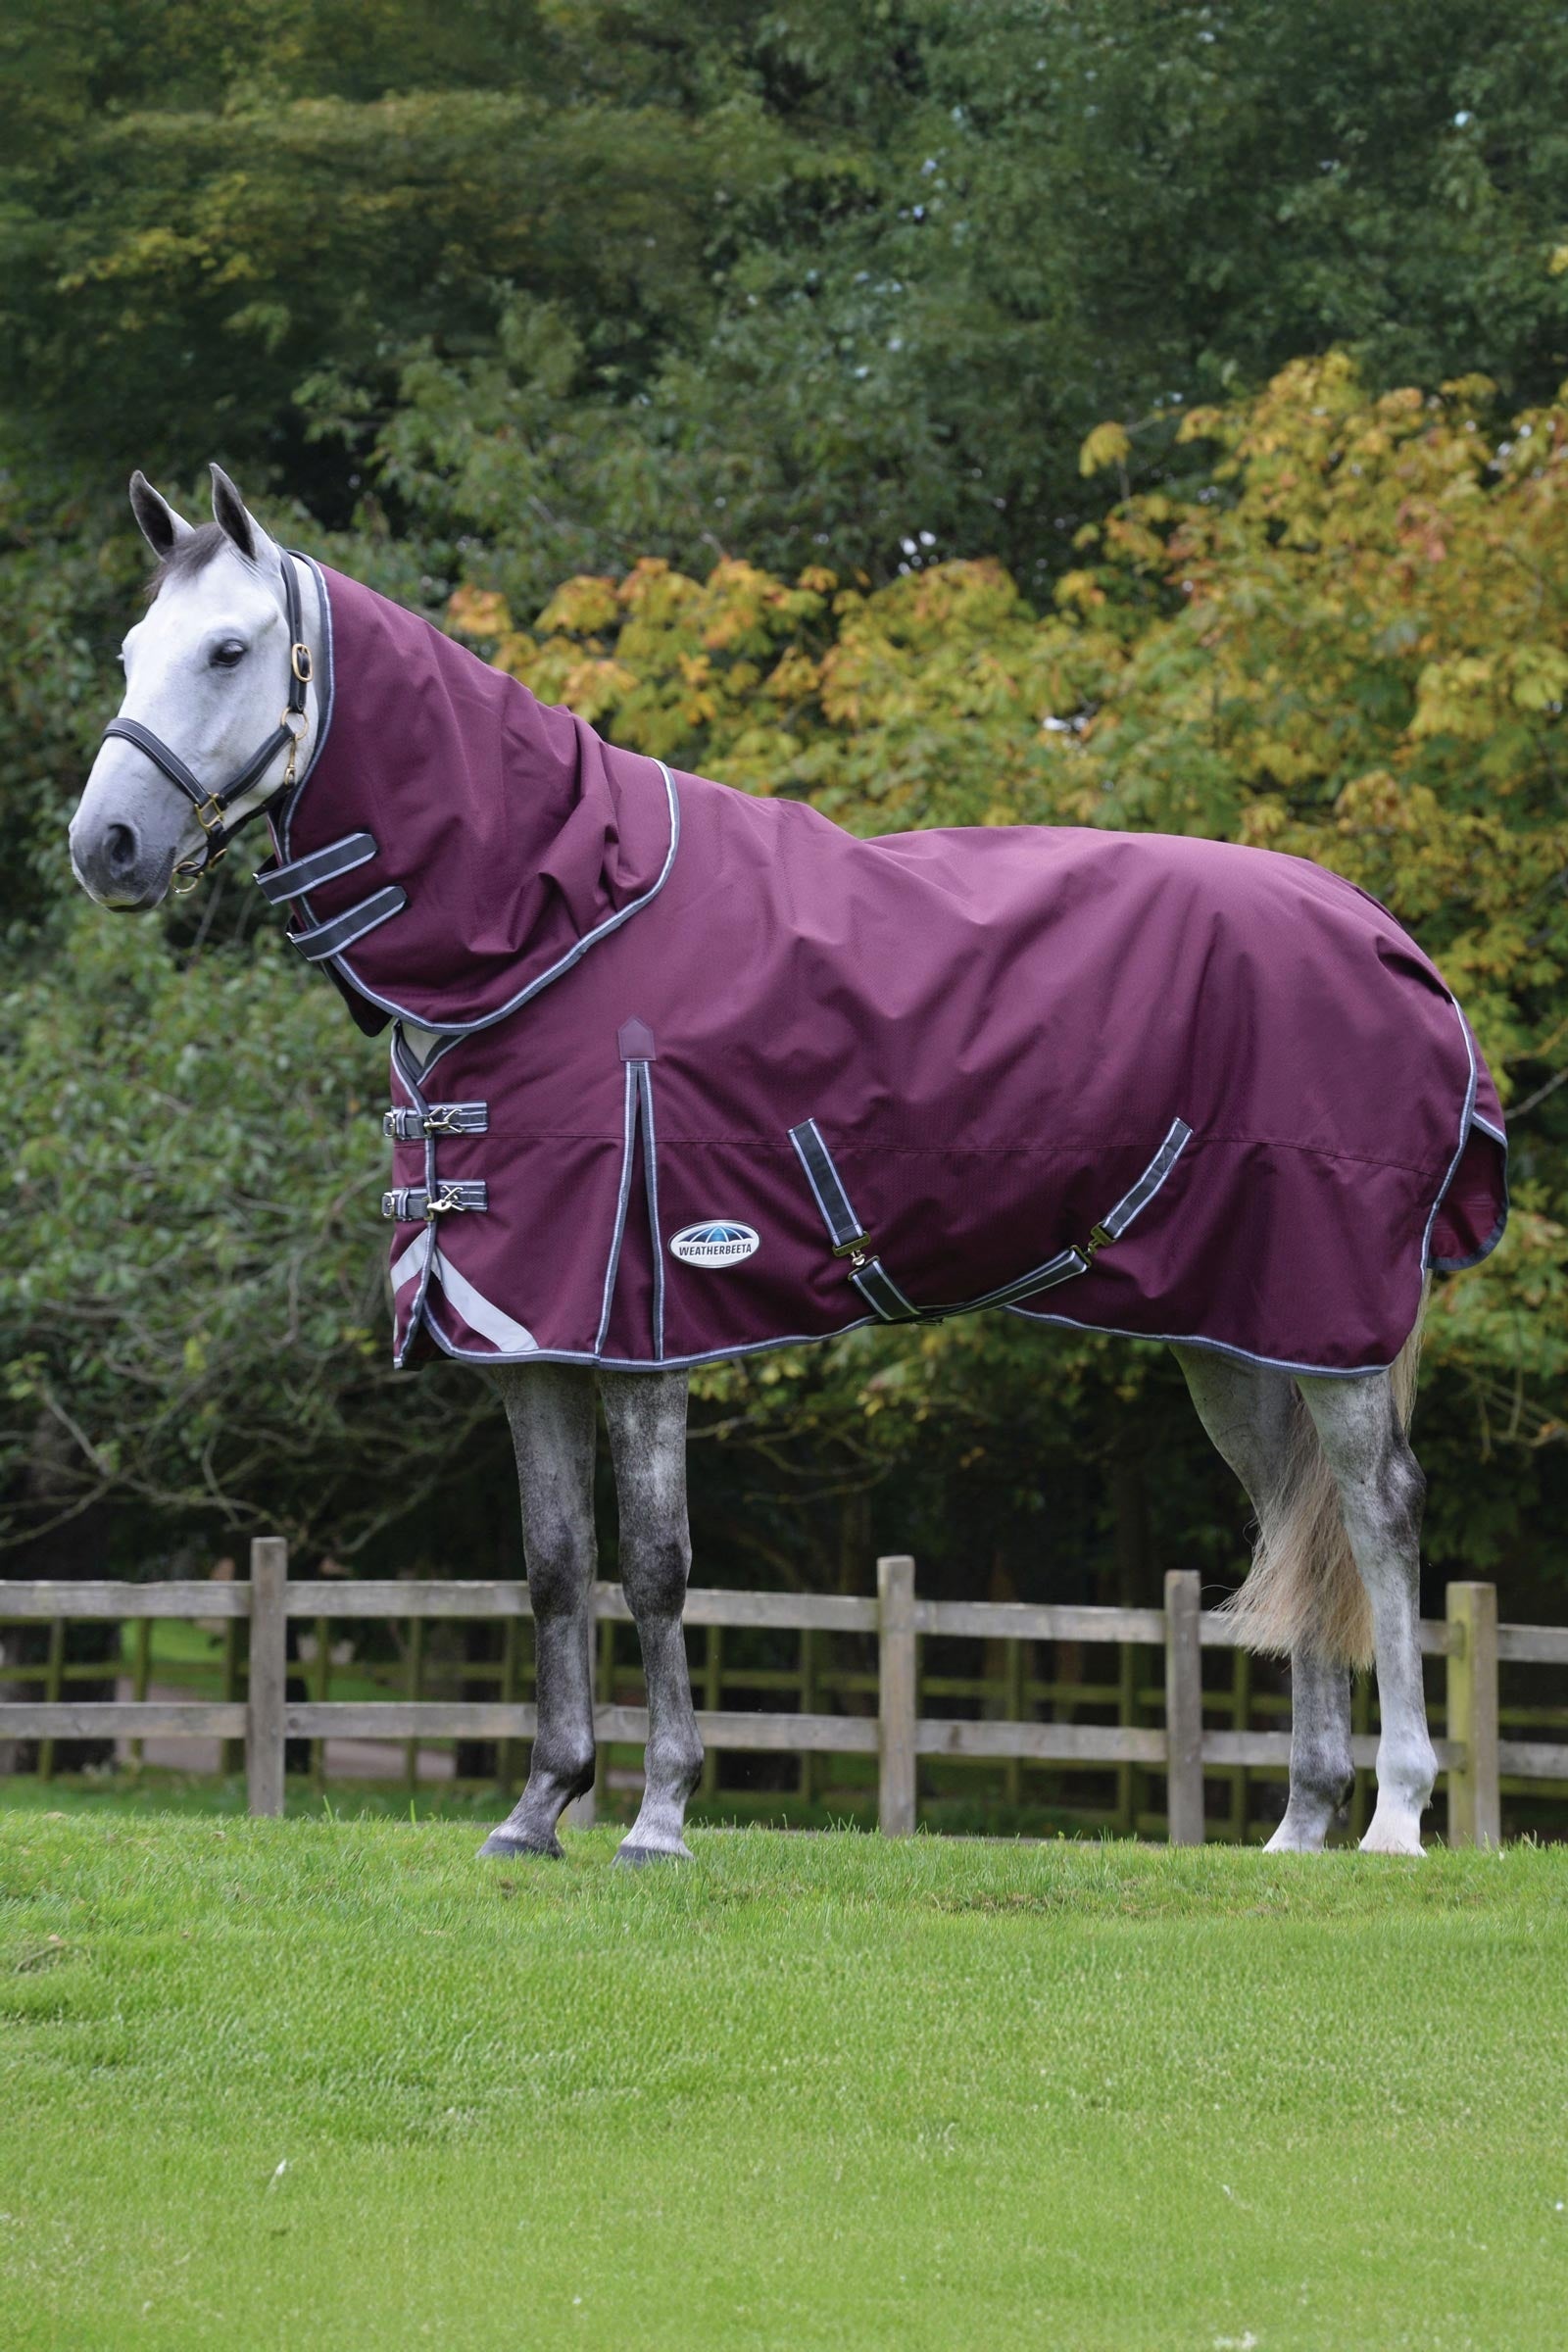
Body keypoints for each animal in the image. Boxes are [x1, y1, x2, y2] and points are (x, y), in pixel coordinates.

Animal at [68, 464, 1508, 1862]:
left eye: (231, 649)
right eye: (133, 649)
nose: (106, 849)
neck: (558, 927)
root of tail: (1386, 937)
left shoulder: (644, 1319)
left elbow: (653, 1562)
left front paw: (657, 1815)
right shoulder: (530, 1330)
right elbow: (551, 1562)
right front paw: (537, 1812)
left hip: (1334, 1323)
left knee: (1376, 1515)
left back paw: (1393, 1819)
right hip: (1243, 1333)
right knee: (1292, 1521)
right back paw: (1297, 1828)